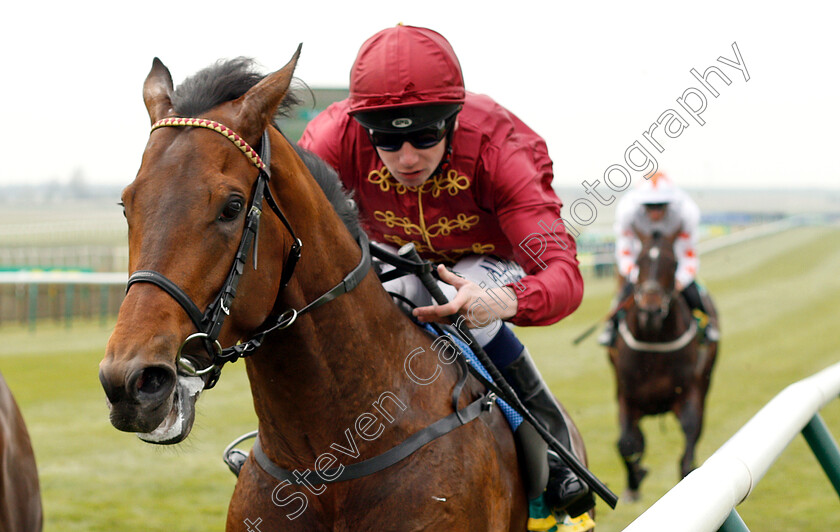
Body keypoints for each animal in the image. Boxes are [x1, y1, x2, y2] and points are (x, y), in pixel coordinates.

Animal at [608, 230, 720, 502]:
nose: (650, 311)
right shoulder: (626, 394)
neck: (654, 342)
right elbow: (626, 442)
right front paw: (635, 480)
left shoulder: (689, 392)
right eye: (639, 262)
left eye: (674, 263)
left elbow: (691, 431)